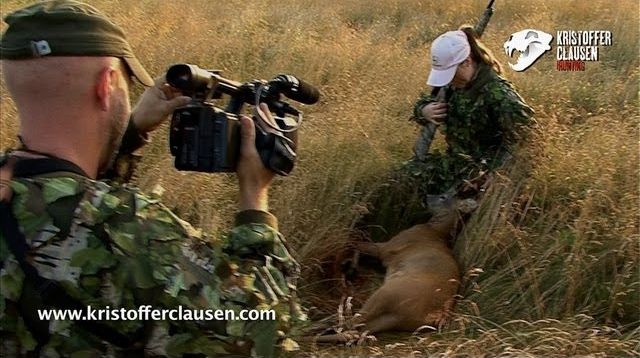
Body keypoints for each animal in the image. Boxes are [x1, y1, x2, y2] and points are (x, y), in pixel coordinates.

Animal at [312, 192, 478, 342]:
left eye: (443, 197)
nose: (425, 196)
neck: (435, 231)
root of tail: (435, 315)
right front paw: (350, 265)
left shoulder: (388, 247)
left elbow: (357, 244)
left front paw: (350, 266)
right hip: (391, 318)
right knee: (355, 331)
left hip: (387, 293)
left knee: (352, 322)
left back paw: (317, 325)